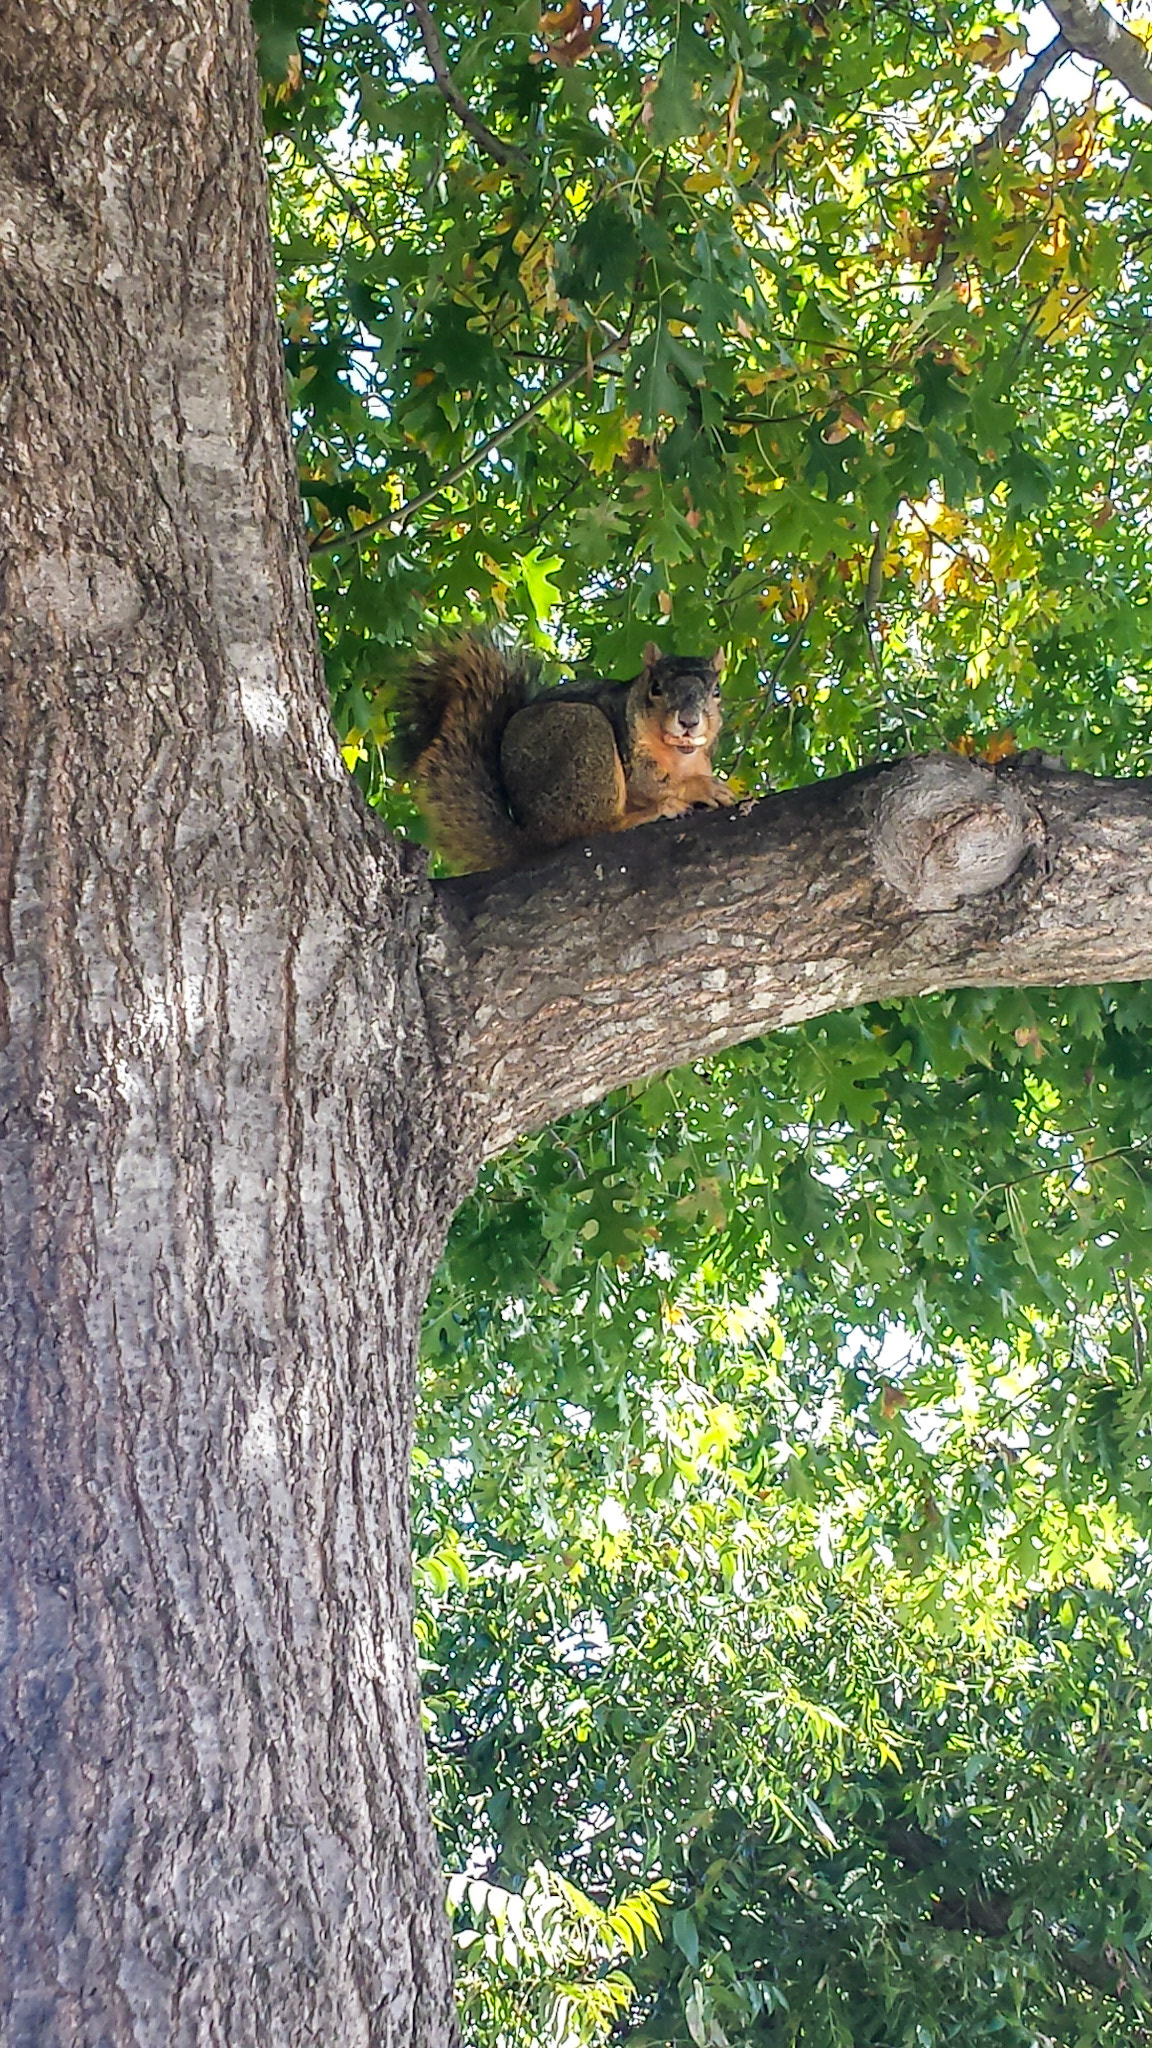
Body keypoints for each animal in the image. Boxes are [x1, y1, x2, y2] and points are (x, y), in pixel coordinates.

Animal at [392, 634, 734, 872]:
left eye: (717, 691)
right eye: (656, 688)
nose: (688, 721)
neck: (678, 755)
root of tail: (534, 834)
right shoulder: (630, 750)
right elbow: (646, 784)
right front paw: (702, 788)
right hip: (586, 739)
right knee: (589, 829)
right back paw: (648, 814)